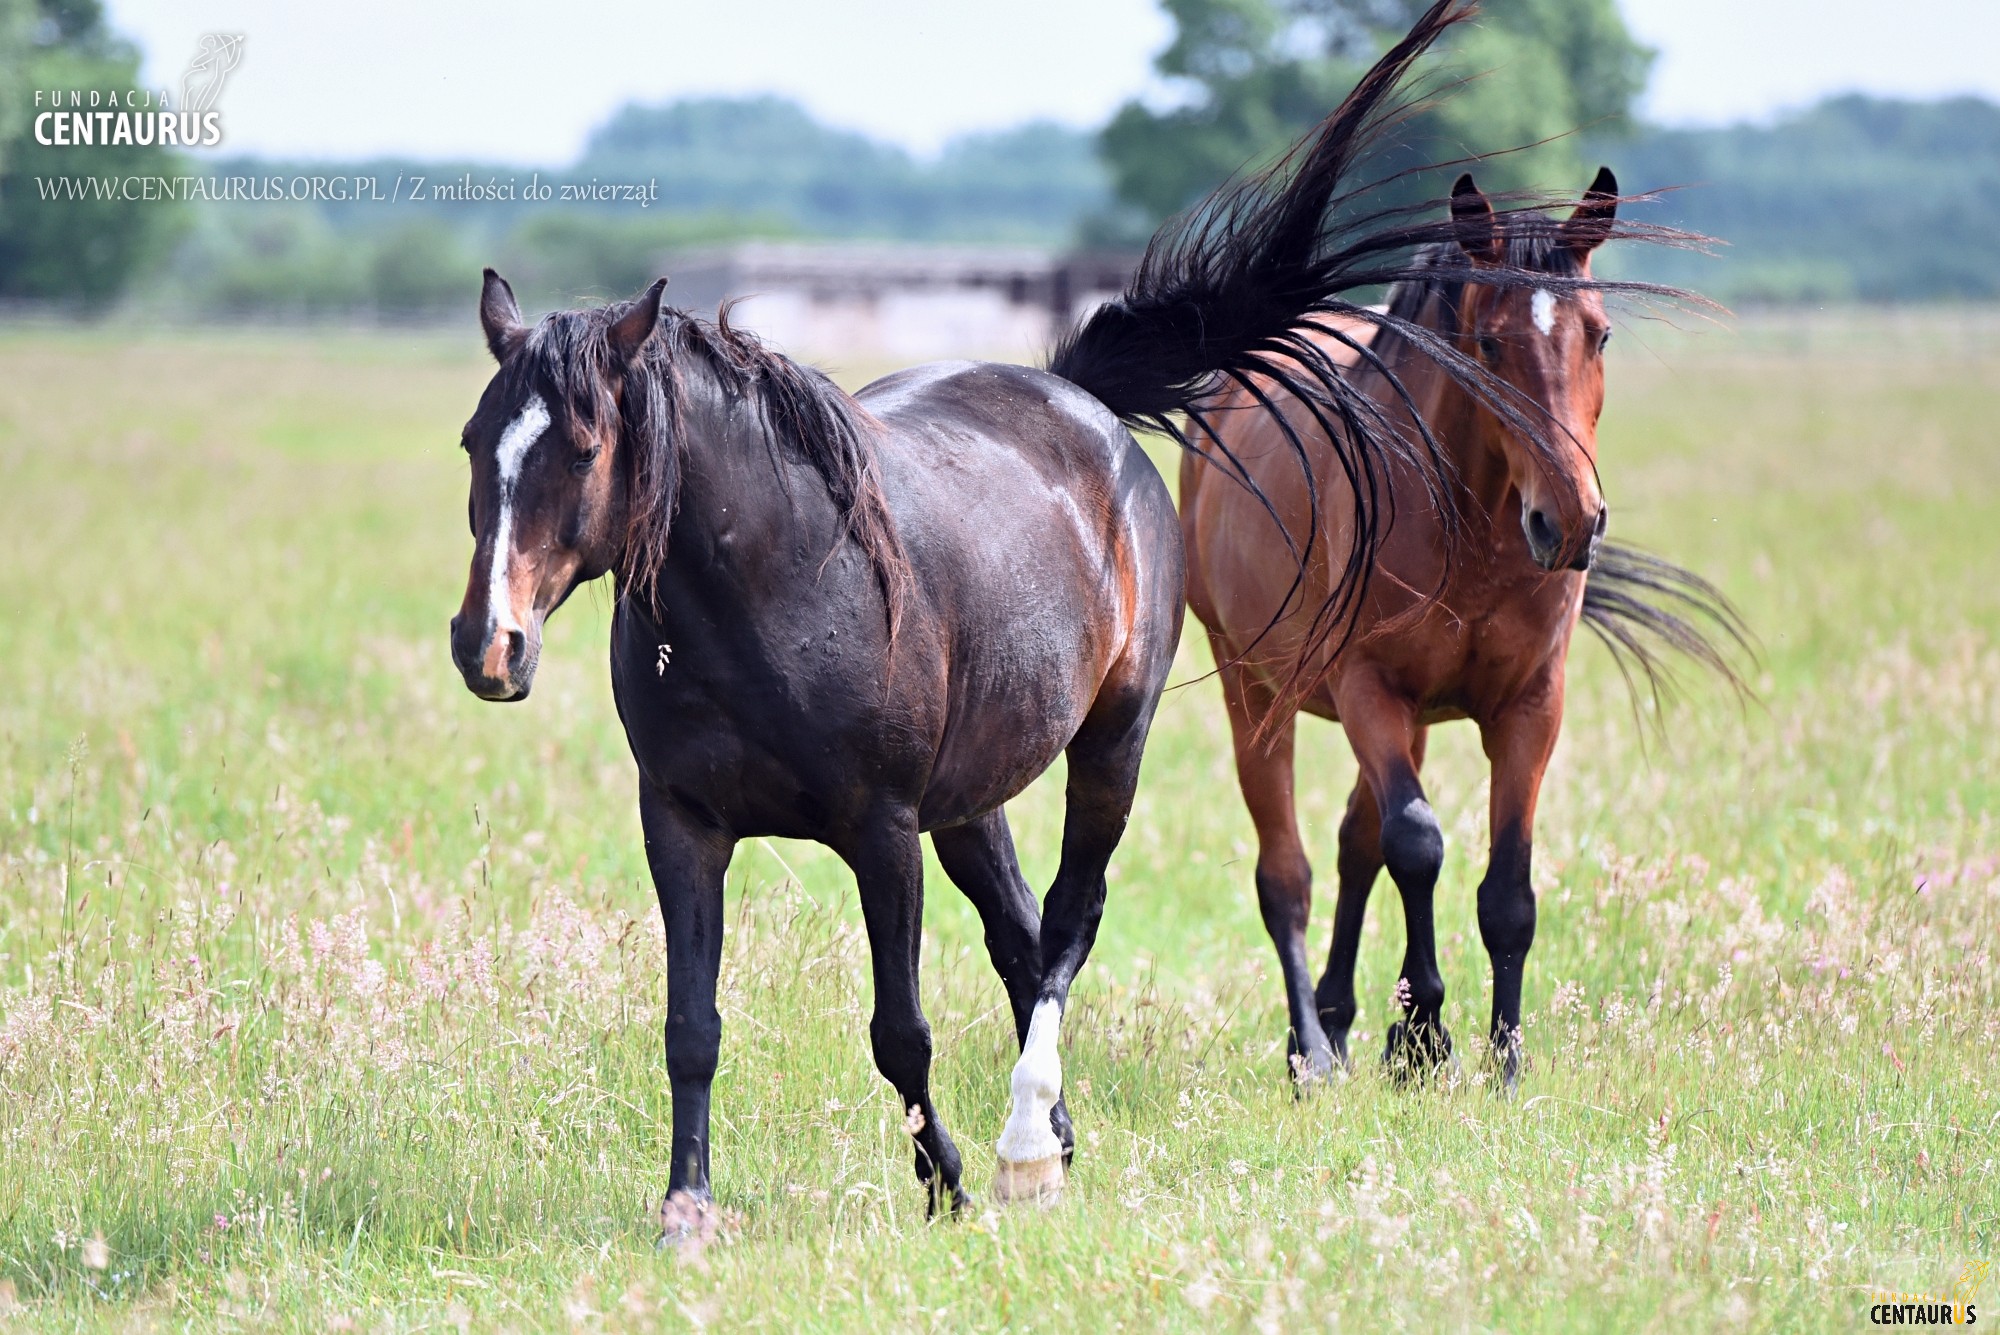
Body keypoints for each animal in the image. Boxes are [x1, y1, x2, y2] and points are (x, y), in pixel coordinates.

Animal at [446, 0, 1488, 1223]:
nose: (489, 646)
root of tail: (1079, 396)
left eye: (581, 446)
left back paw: (1025, 1147)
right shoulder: (683, 826)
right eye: (473, 441)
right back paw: (1057, 1135)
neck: (775, 596)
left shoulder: (881, 830)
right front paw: (687, 1211)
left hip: (1108, 743)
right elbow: (690, 1025)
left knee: (1067, 925)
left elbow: (900, 1029)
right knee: (1021, 938)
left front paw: (942, 1181)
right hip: (972, 798)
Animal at [1176, 169, 1744, 1087]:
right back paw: (1311, 1051)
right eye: (1486, 342)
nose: (1571, 521)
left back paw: (1337, 1019)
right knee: (1289, 870)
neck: (1469, 528)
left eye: (1601, 334)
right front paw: (1423, 1036)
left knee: (1354, 843)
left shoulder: (1529, 706)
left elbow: (1503, 889)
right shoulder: (1370, 689)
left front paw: (1501, 1058)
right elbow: (1417, 845)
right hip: (1253, 686)